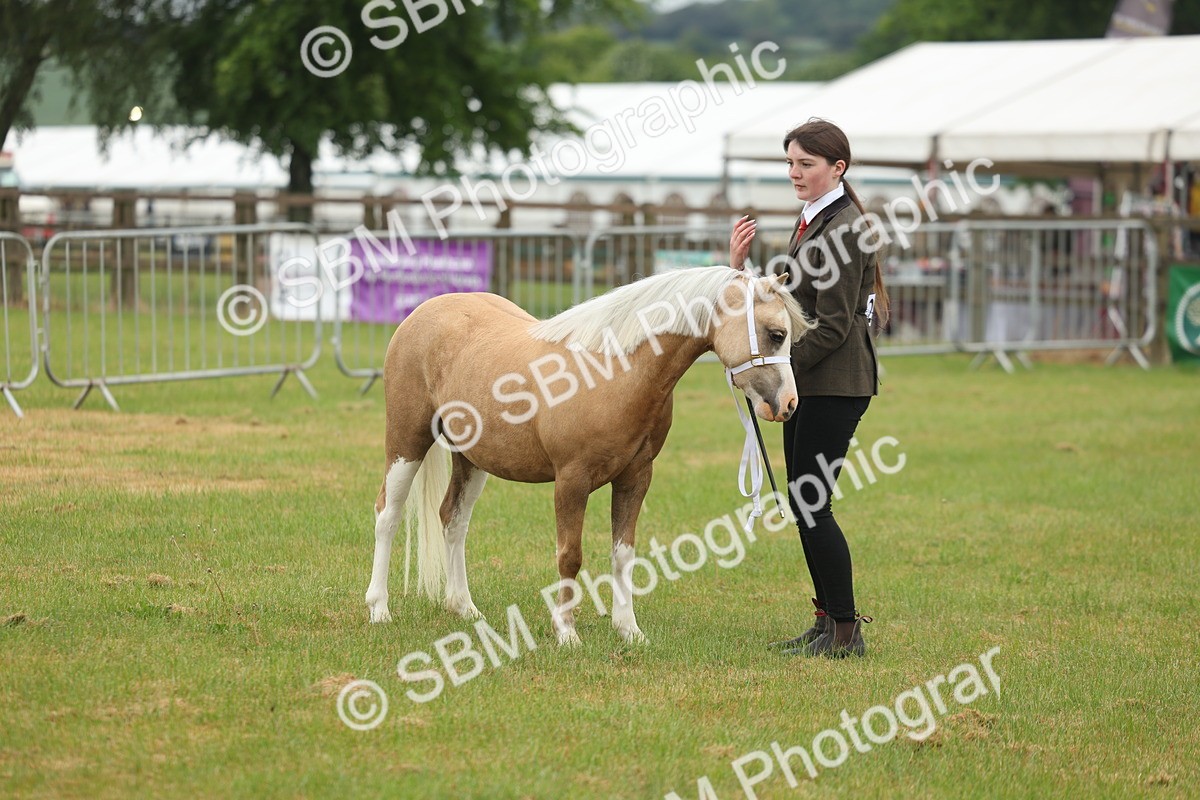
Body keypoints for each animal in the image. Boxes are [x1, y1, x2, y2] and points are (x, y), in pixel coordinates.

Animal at [364, 265, 814, 644]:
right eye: (776, 333)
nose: (789, 405)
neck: (613, 372)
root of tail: (422, 312)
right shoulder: (571, 481)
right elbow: (570, 556)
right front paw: (566, 633)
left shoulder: (636, 477)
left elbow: (623, 554)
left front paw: (628, 629)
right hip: (406, 441)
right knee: (388, 514)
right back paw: (379, 608)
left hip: (472, 459)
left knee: (453, 520)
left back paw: (464, 607)